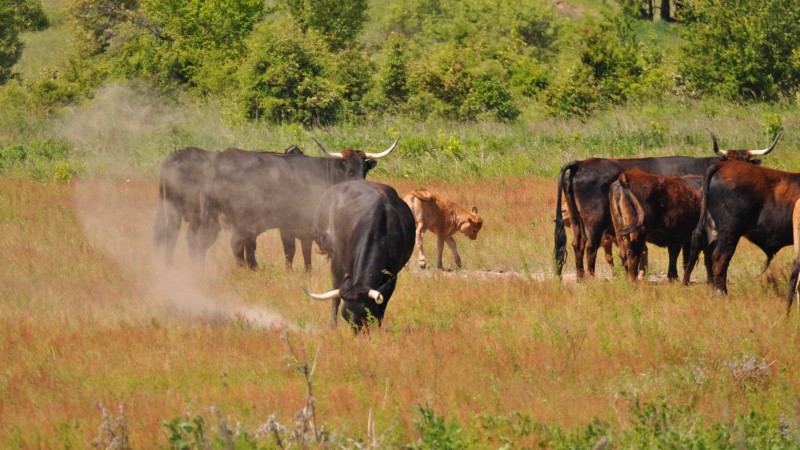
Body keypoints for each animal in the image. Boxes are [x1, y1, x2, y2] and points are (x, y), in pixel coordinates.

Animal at [298, 179, 412, 330]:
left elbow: (383, 304)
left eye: (367, 316)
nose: (358, 333)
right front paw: (332, 325)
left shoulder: (392, 275)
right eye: (346, 317)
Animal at [552, 132, 780, 278]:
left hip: (578, 222)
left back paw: (581, 277)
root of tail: (580, 163)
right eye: (730, 162)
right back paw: (591, 277)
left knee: (578, 245)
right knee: (590, 247)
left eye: (747, 163)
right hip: (595, 222)